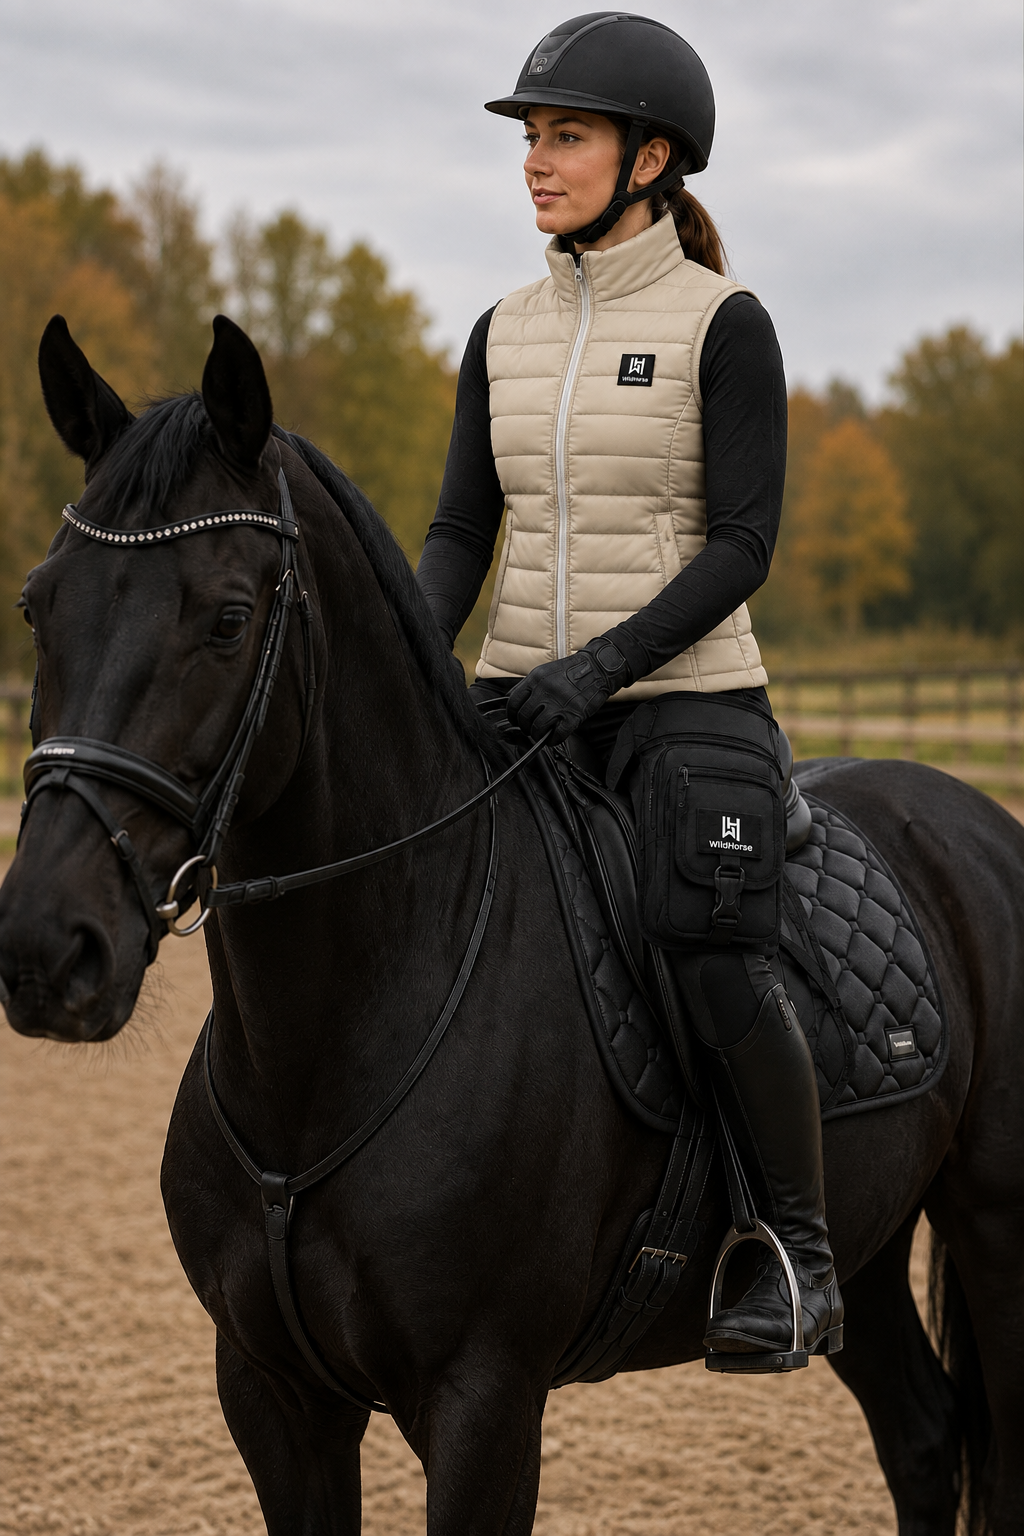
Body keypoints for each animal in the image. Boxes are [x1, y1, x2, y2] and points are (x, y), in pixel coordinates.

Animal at [0, 312, 1020, 1536]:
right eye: (39, 604)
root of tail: (971, 819)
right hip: (867, 1242)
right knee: (922, 1437)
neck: (340, 1035)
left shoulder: (483, 1403)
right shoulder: (269, 1391)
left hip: (997, 1230)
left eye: (229, 620)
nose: (48, 946)